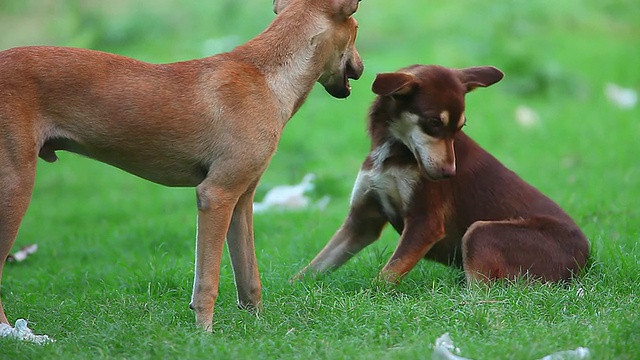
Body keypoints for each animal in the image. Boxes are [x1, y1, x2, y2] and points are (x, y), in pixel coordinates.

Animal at [0, 0, 362, 332]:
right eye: (357, 28)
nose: (361, 67)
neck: (267, 76)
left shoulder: (242, 199)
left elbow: (249, 277)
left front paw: (258, 329)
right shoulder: (216, 195)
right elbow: (208, 281)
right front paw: (205, 336)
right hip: (15, 186)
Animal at [292, 64, 588, 284]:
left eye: (460, 126)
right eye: (434, 123)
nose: (449, 174)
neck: (392, 152)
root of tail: (586, 260)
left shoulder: (426, 224)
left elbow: (385, 276)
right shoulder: (361, 222)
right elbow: (314, 267)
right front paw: (290, 294)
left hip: (481, 232)